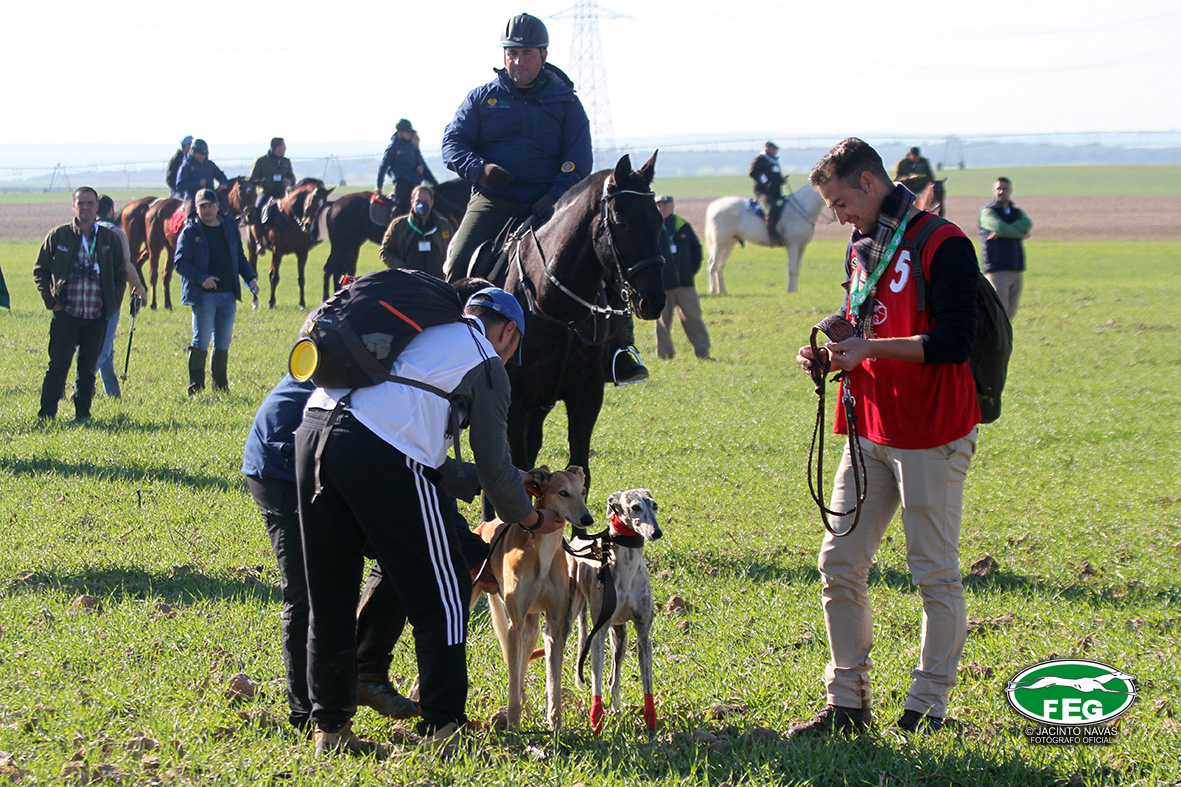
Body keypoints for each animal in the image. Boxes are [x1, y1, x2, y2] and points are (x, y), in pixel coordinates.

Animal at [247, 178, 334, 309]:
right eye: (311, 201)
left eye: (323, 207)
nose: (308, 226)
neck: (291, 219)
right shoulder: (277, 251)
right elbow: (274, 276)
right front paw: (271, 302)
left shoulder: (302, 252)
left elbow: (301, 278)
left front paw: (302, 303)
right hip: (252, 250)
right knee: (254, 273)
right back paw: (255, 302)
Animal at [471, 465, 593, 731]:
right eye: (563, 492)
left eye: (583, 491)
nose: (587, 519)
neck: (543, 551)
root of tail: (484, 525)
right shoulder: (514, 626)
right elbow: (514, 681)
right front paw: (513, 728)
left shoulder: (554, 627)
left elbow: (553, 682)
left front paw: (555, 725)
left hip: (532, 629)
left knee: (521, 672)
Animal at [500, 152, 666, 497]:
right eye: (621, 222)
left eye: (658, 220)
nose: (654, 299)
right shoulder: (515, 401)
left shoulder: (586, 393)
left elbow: (580, 471)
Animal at [566, 488, 661, 736]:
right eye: (635, 507)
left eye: (655, 505)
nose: (656, 533)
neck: (627, 567)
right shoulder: (598, 634)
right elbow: (596, 680)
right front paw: (596, 720)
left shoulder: (643, 634)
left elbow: (646, 681)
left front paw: (650, 720)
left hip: (620, 635)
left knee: (614, 676)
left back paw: (617, 708)